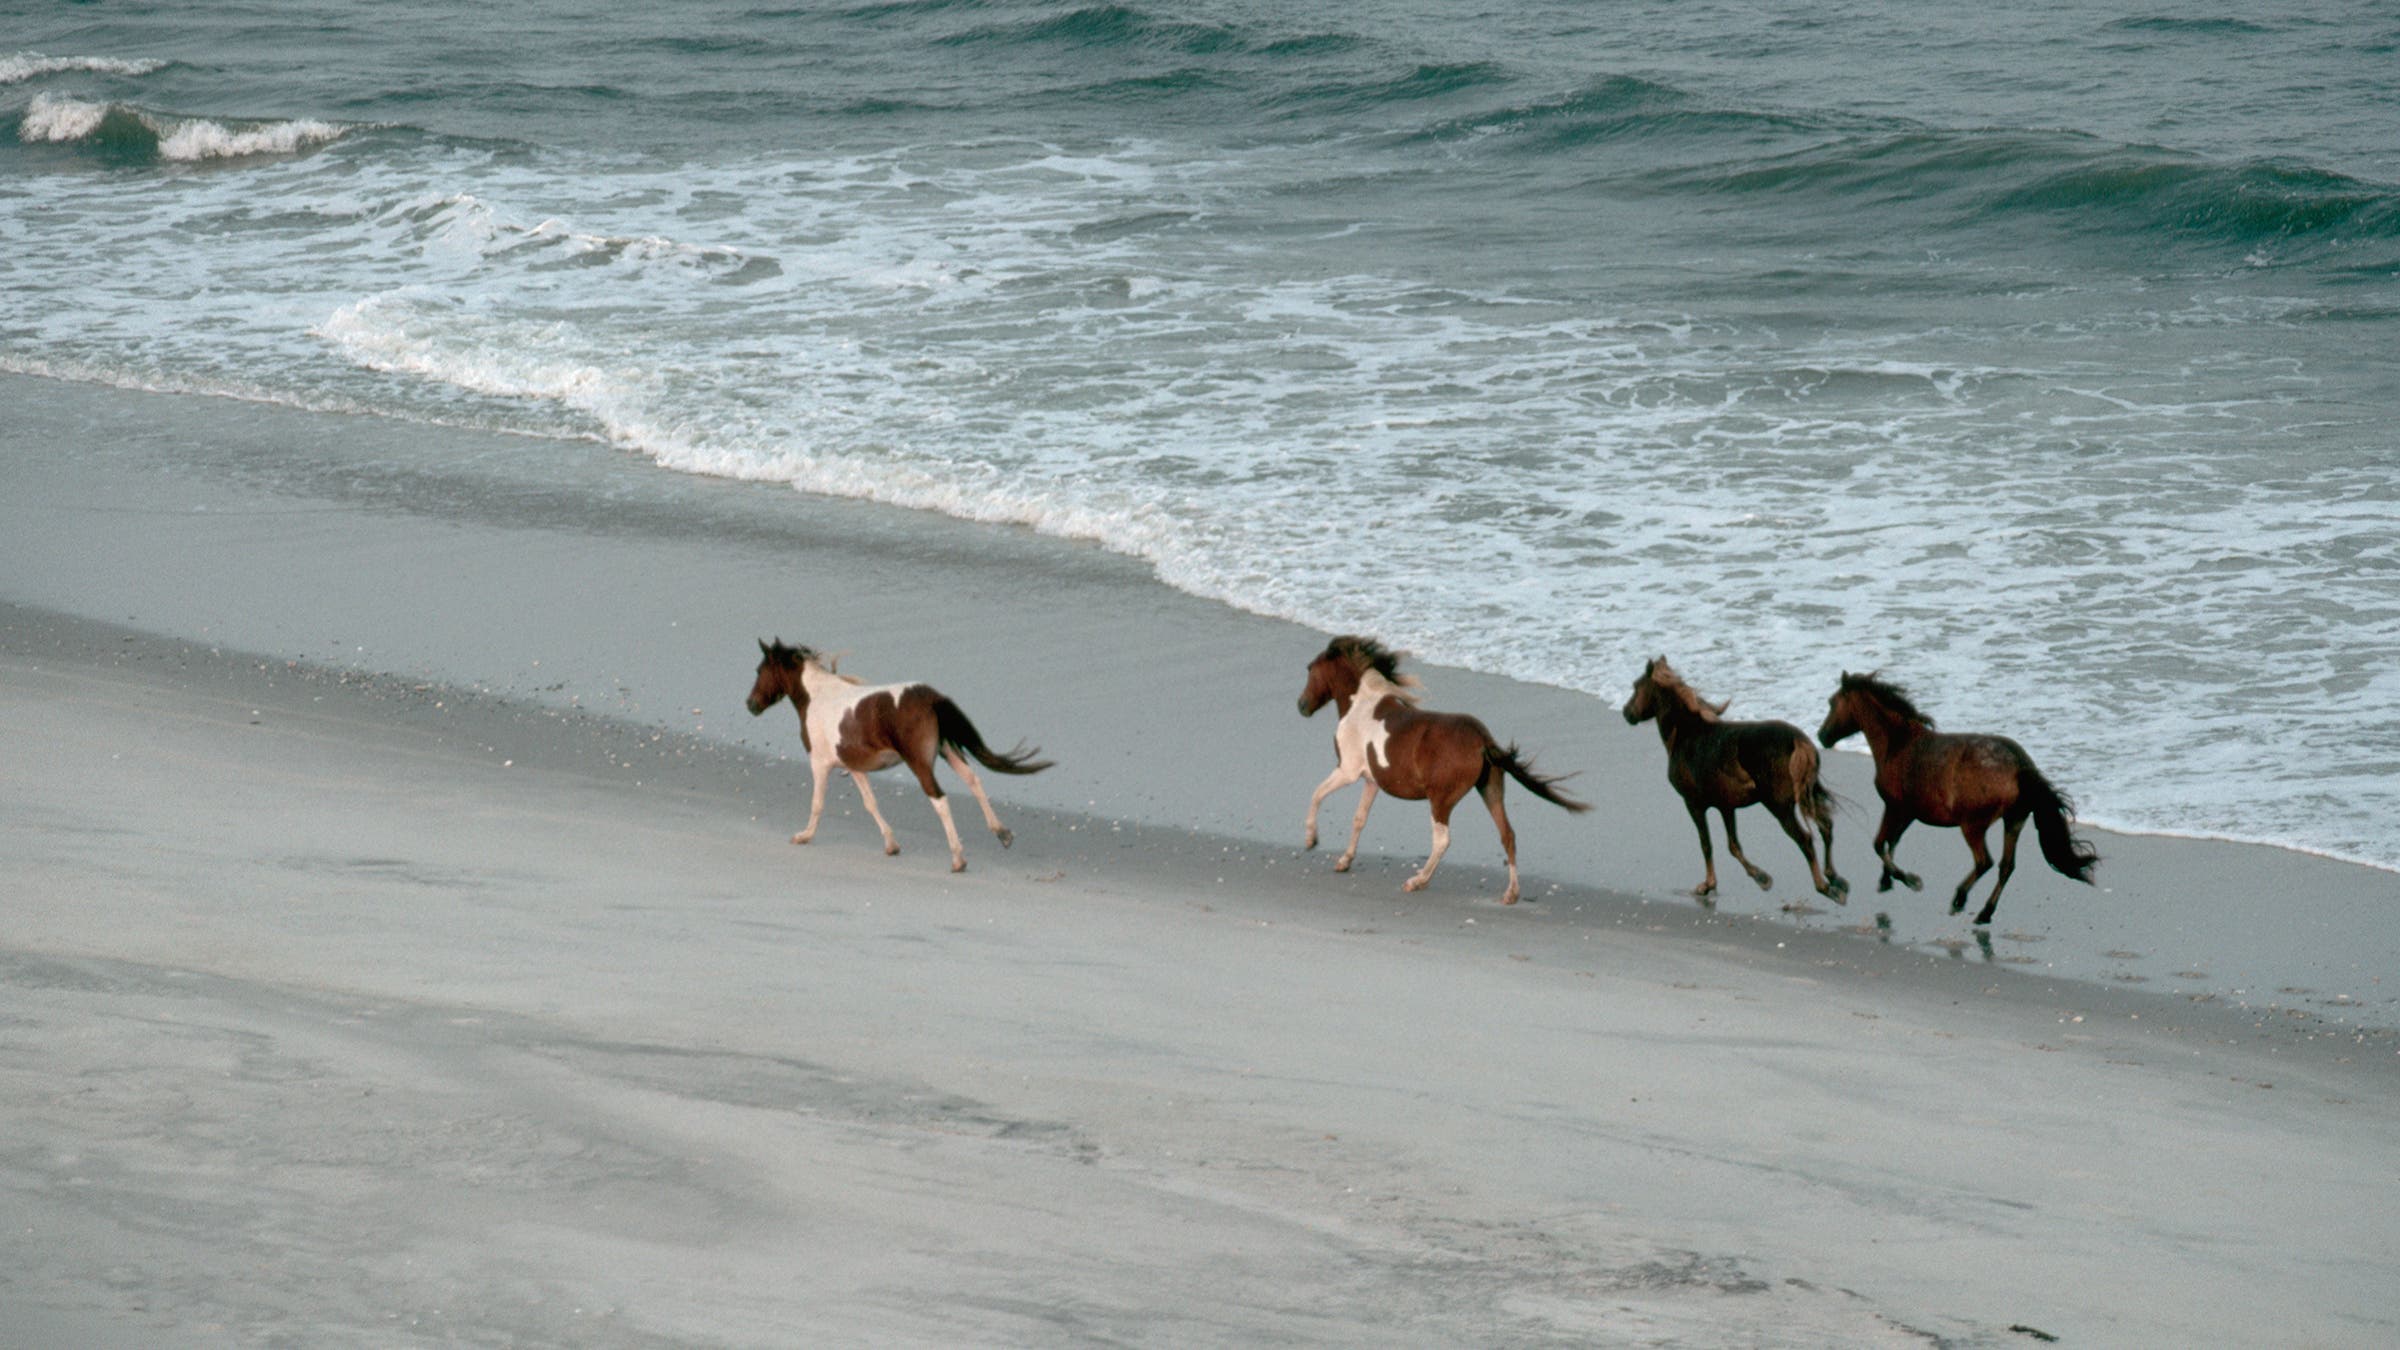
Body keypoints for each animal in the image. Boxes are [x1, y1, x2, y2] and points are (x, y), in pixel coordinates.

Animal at [746, 639, 1051, 872]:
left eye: (760, 670)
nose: (751, 705)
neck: (817, 697)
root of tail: (932, 697)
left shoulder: (820, 764)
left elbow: (817, 803)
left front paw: (804, 836)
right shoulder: (854, 766)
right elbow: (870, 803)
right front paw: (891, 845)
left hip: (920, 763)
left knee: (940, 800)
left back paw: (958, 859)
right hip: (947, 751)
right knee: (973, 780)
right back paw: (1002, 833)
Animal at [1297, 635, 1589, 905]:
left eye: (1310, 668)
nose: (1302, 706)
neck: (1361, 707)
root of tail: (1482, 739)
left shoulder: (1347, 771)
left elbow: (1316, 794)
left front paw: (1311, 840)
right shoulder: (1371, 781)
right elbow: (1359, 819)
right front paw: (1344, 862)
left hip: (1441, 799)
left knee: (1442, 840)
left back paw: (1417, 881)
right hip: (1490, 789)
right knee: (1507, 835)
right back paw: (1511, 894)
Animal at [1621, 657, 1847, 905]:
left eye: (1636, 686)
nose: (1626, 713)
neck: (1688, 734)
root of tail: (1798, 741)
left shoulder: (1694, 804)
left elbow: (1706, 844)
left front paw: (1708, 885)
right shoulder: (1726, 806)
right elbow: (1733, 846)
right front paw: (1762, 878)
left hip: (1780, 807)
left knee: (1805, 839)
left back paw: (1826, 888)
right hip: (1806, 795)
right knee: (1826, 827)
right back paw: (1836, 880)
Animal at [1816, 671, 2097, 925]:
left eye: (1832, 702)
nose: (1822, 736)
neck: (1899, 744)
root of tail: (2020, 765)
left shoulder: (1895, 807)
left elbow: (1879, 843)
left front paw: (1909, 880)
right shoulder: (1909, 813)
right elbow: (1891, 842)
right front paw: (1887, 880)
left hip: (1973, 825)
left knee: (1984, 862)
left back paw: (1959, 899)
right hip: (2014, 821)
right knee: (2006, 866)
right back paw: (1984, 913)